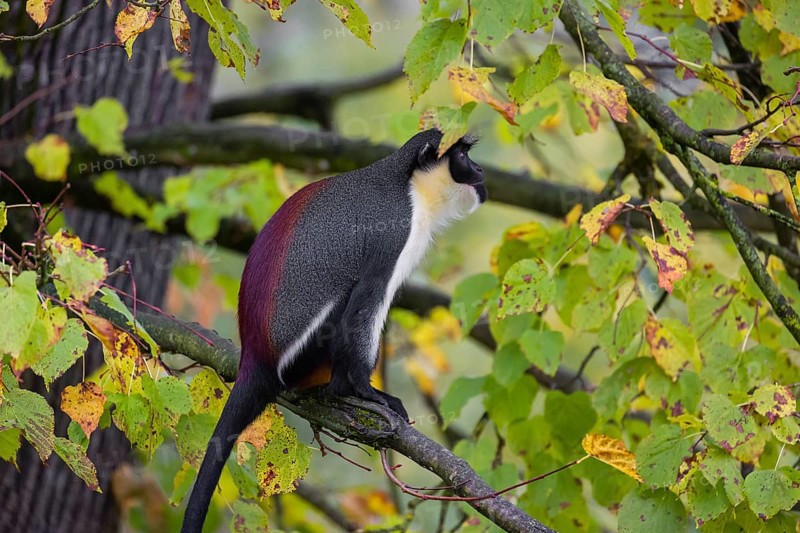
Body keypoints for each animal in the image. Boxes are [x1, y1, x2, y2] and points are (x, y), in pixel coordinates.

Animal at [181, 129, 486, 532]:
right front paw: (367, 391)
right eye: (462, 156)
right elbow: (365, 303)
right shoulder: (393, 233)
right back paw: (341, 389)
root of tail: (255, 360)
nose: (480, 169)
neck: (409, 185)